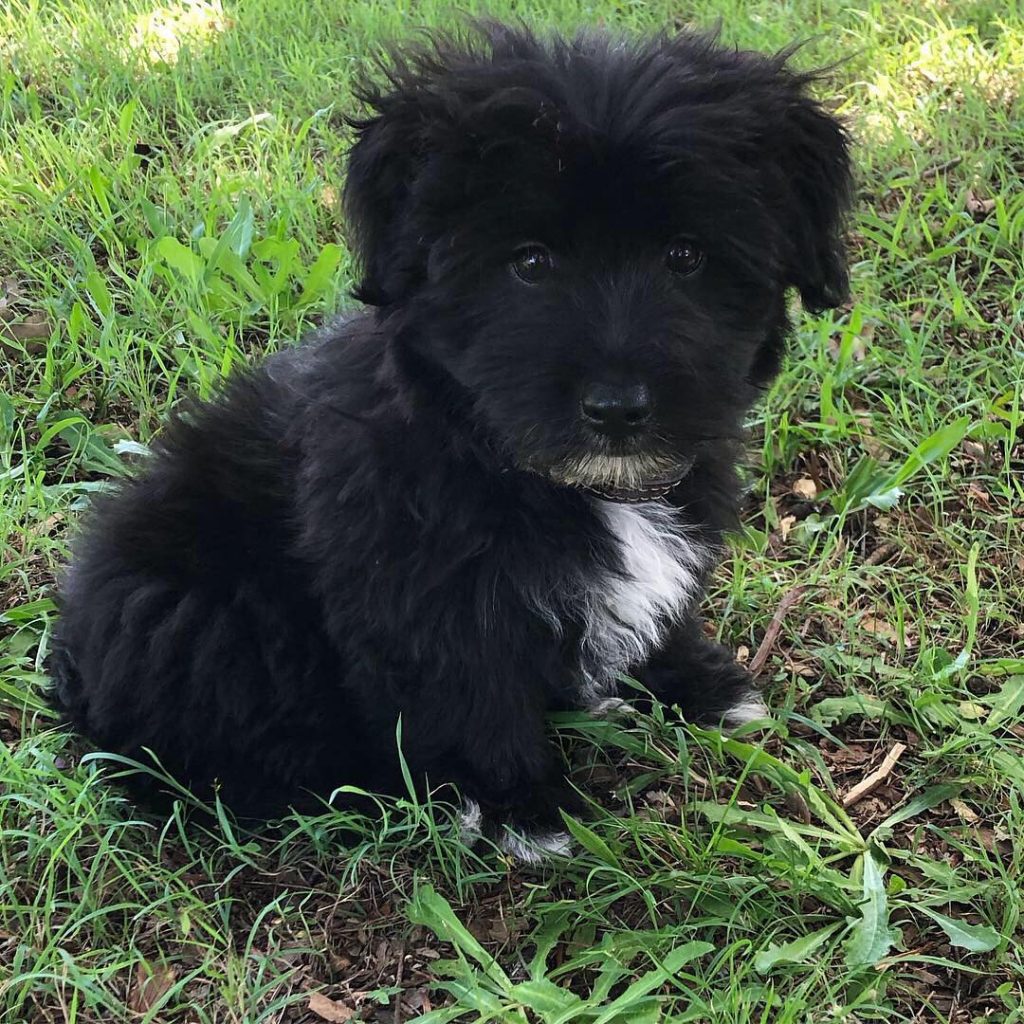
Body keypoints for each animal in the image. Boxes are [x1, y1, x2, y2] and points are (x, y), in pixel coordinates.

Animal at [49, 22, 847, 856]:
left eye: (686, 255)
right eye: (529, 262)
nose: (619, 408)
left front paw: (694, 682)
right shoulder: (423, 592)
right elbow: (466, 690)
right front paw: (517, 803)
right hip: (205, 614)